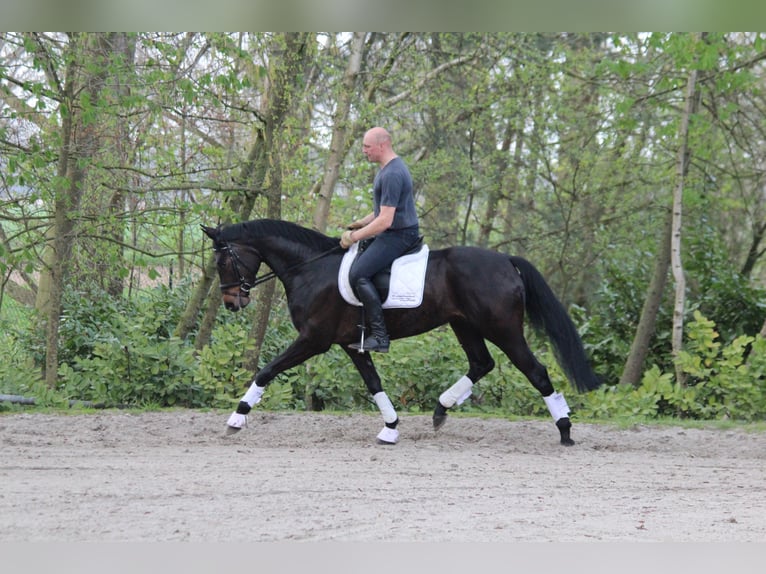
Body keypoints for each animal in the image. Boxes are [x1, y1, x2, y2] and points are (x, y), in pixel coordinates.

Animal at [202, 218, 600, 448]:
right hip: (465, 325)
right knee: (481, 363)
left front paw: (236, 419)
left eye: (222, 260)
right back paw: (441, 410)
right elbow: (374, 384)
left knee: (535, 371)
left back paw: (565, 431)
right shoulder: (351, 345)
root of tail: (506, 261)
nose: (232, 302)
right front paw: (391, 428)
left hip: (502, 329)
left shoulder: (314, 339)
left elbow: (266, 370)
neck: (311, 268)